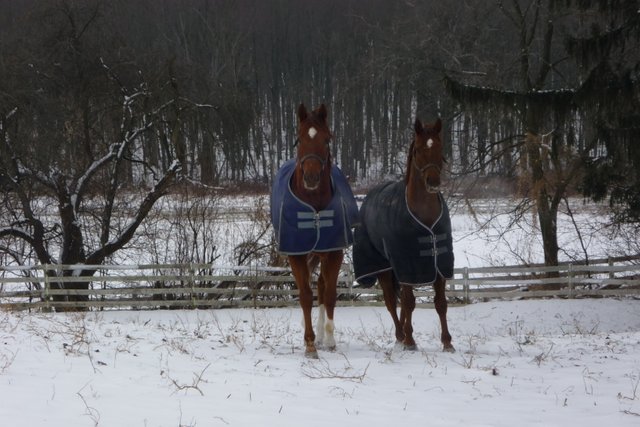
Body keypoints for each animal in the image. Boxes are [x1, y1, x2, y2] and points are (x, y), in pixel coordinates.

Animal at [270, 103, 360, 358]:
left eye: (327, 139)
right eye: (299, 139)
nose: (311, 177)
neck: (314, 207)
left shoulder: (334, 252)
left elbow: (328, 295)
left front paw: (328, 340)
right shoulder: (297, 254)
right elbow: (305, 296)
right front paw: (309, 343)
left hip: (322, 254)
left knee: (321, 285)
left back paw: (322, 336)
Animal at [352, 118, 452, 352]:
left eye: (440, 147)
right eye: (418, 149)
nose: (433, 182)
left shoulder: (438, 265)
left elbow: (440, 304)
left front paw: (447, 342)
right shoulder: (406, 264)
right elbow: (408, 302)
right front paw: (409, 341)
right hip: (384, 267)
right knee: (391, 302)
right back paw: (400, 336)